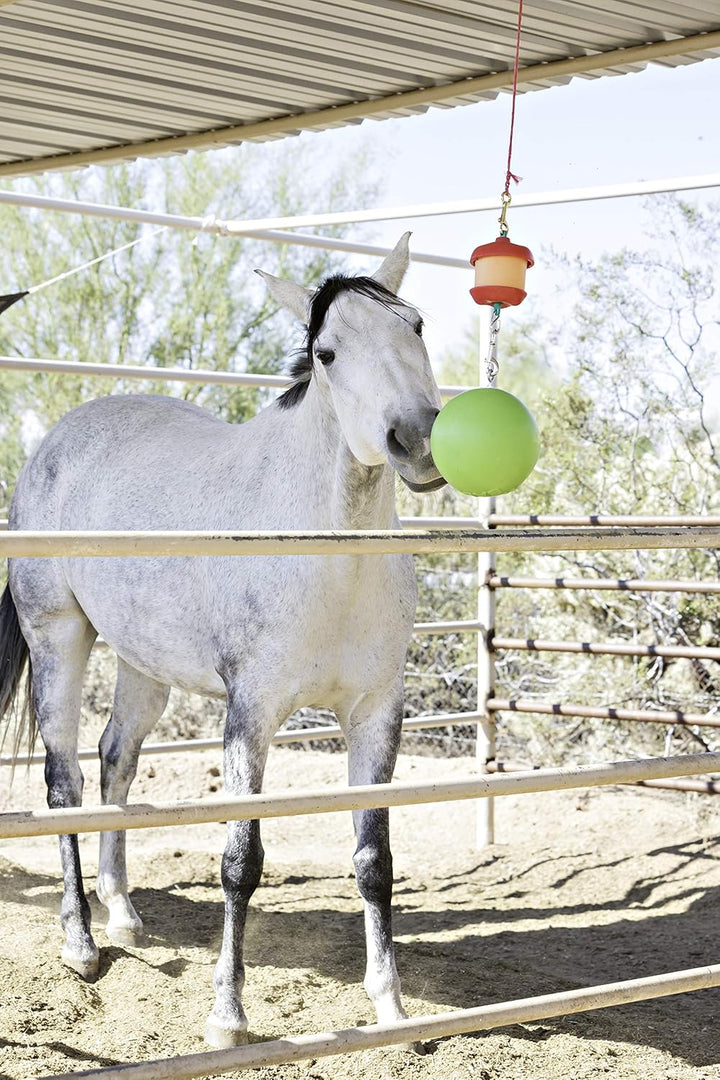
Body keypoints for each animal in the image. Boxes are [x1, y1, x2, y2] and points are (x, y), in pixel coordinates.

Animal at [0, 233, 445, 1048]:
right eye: (327, 352)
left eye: (417, 326)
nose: (417, 439)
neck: (329, 557)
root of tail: (56, 441)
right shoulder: (251, 714)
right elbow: (241, 859)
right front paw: (227, 1017)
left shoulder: (376, 713)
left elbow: (374, 859)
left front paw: (391, 1009)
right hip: (59, 639)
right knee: (65, 781)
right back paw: (80, 943)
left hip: (143, 664)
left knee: (115, 761)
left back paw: (123, 915)